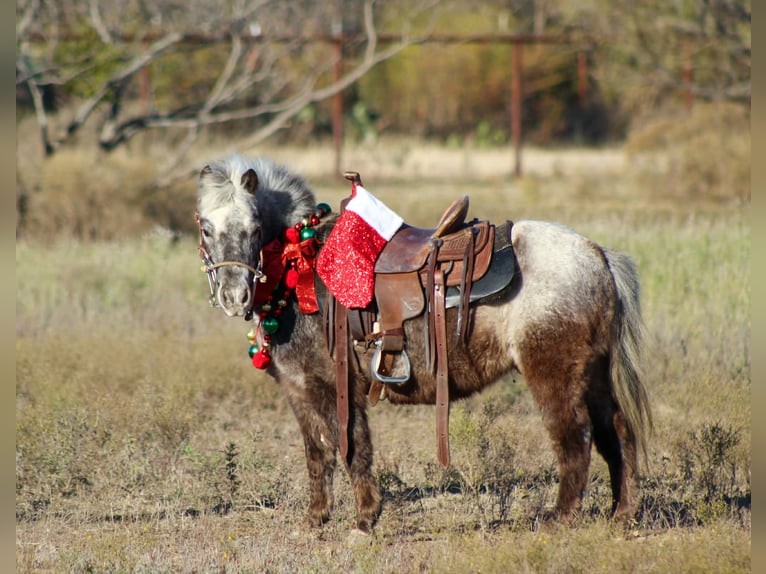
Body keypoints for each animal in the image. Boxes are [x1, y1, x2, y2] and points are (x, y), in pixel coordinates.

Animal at [195, 153, 652, 533]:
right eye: (206, 227)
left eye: (254, 227)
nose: (234, 296)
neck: (300, 262)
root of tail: (597, 254)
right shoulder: (300, 390)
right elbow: (318, 454)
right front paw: (315, 520)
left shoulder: (334, 388)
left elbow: (351, 449)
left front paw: (365, 521)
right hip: (593, 373)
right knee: (616, 432)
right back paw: (622, 515)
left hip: (554, 373)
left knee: (575, 440)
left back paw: (558, 520)